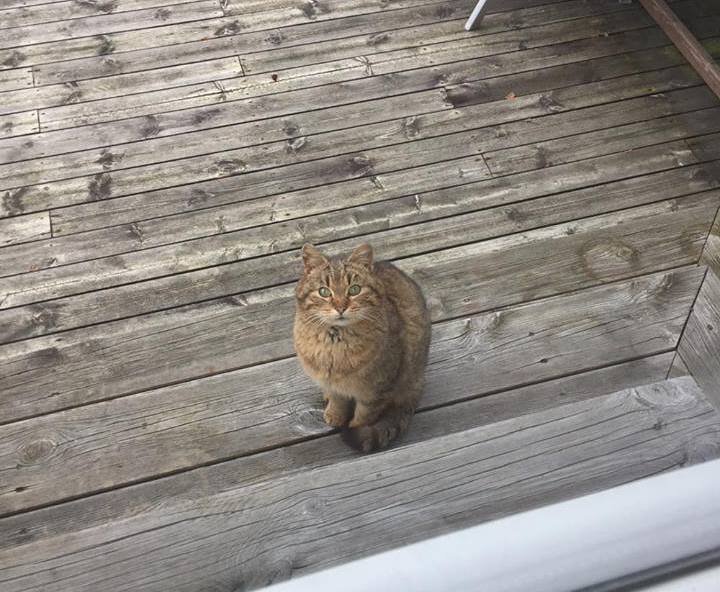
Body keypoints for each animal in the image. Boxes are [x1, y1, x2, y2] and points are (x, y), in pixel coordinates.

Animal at [293, 243, 431, 452]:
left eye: (354, 289)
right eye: (324, 291)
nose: (340, 307)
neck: (335, 344)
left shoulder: (375, 391)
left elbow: (364, 416)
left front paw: (354, 426)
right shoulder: (332, 383)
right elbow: (337, 401)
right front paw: (334, 415)